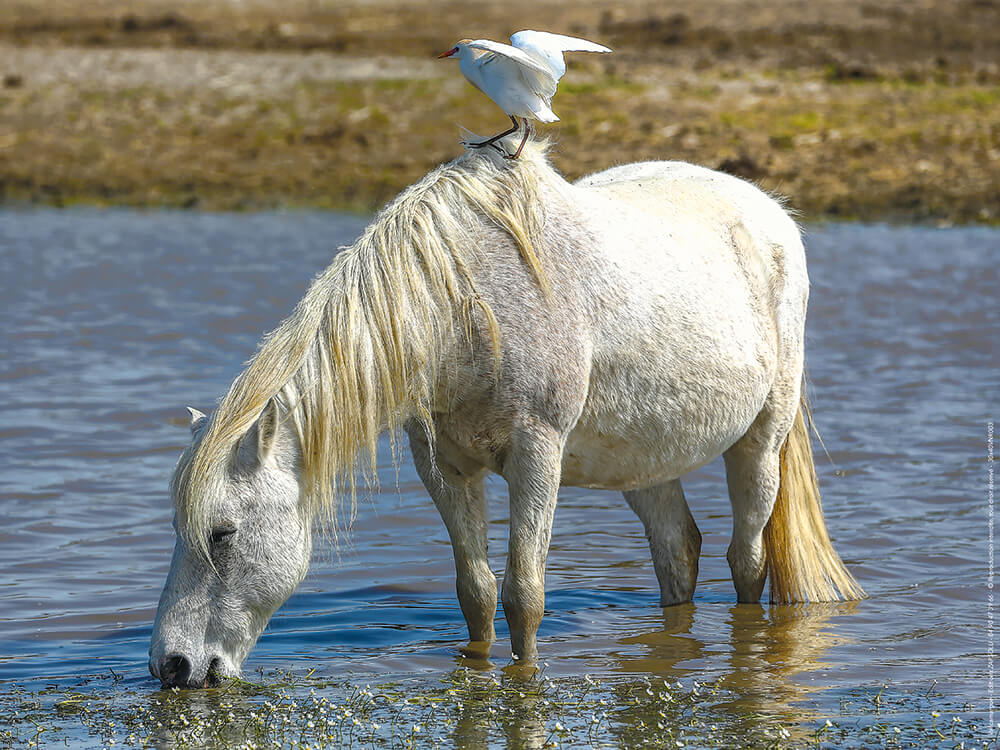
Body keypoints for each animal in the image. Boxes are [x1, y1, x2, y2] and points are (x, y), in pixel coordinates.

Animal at [149, 137, 864, 688]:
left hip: (760, 443)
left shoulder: (535, 454)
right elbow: (477, 591)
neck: (466, 305)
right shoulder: (445, 467)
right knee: (677, 552)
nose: (172, 666)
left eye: (222, 534)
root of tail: (771, 212)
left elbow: (524, 595)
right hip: (645, 463)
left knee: (747, 562)